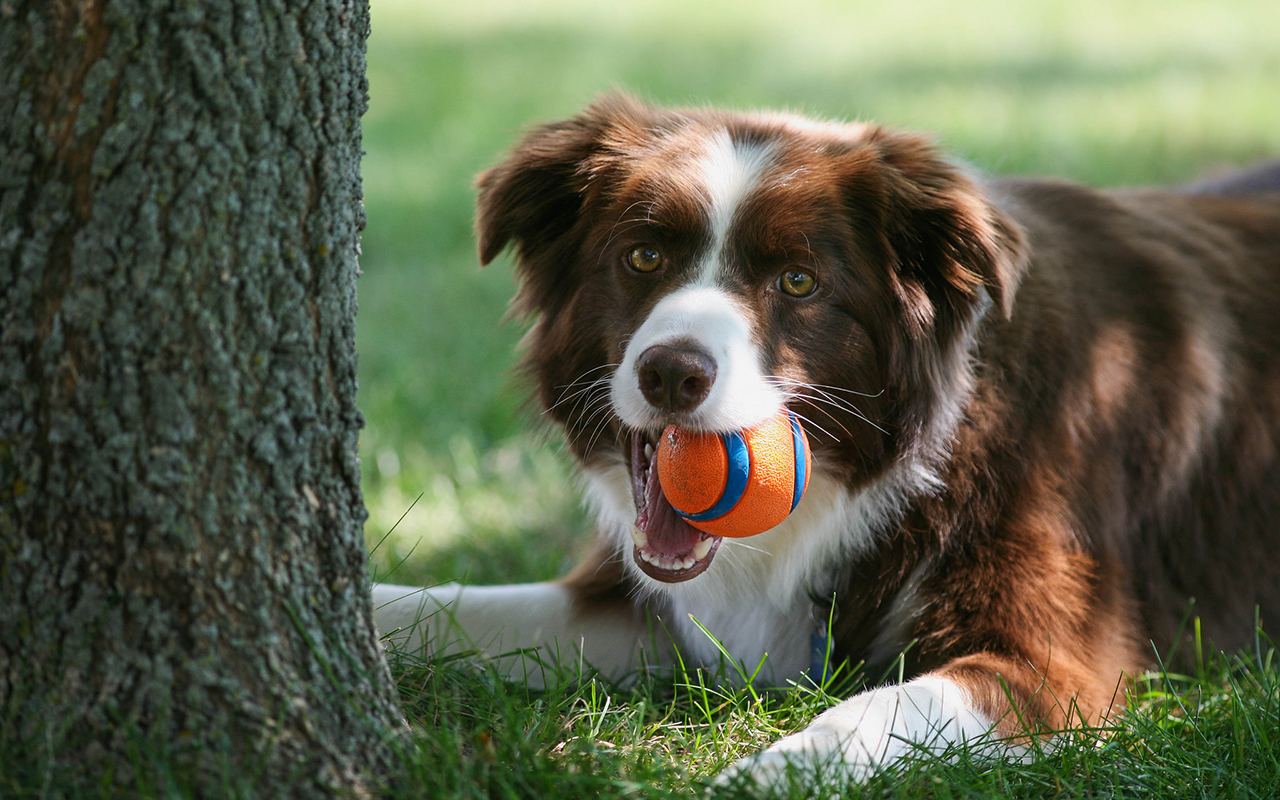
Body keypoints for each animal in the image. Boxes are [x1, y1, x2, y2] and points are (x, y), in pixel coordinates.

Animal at [371, 95, 1280, 788]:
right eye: (643, 255)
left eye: (799, 282)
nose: (672, 374)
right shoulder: (652, 611)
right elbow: (437, 608)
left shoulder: (1052, 664)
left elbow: (866, 713)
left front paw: (754, 780)